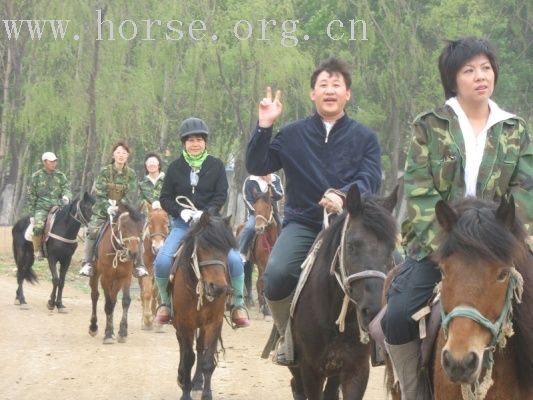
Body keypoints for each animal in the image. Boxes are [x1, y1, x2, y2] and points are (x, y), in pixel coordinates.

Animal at [88, 205, 144, 346]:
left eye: (140, 226)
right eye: (123, 226)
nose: (133, 253)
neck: (117, 251)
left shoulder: (125, 277)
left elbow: (125, 301)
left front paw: (122, 332)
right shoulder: (105, 278)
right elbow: (107, 303)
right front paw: (108, 334)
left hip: (117, 280)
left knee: (113, 299)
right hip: (96, 274)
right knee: (95, 296)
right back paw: (93, 327)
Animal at [170, 212, 237, 400]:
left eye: (227, 249)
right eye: (204, 247)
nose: (219, 288)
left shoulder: (214, 322)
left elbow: (207, 359)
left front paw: (206, 393)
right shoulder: (184, 323)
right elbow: (187, 358)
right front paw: (185, 393)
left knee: (200, 347)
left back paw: (197, 382)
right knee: (182, 345)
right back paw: (182, 378)